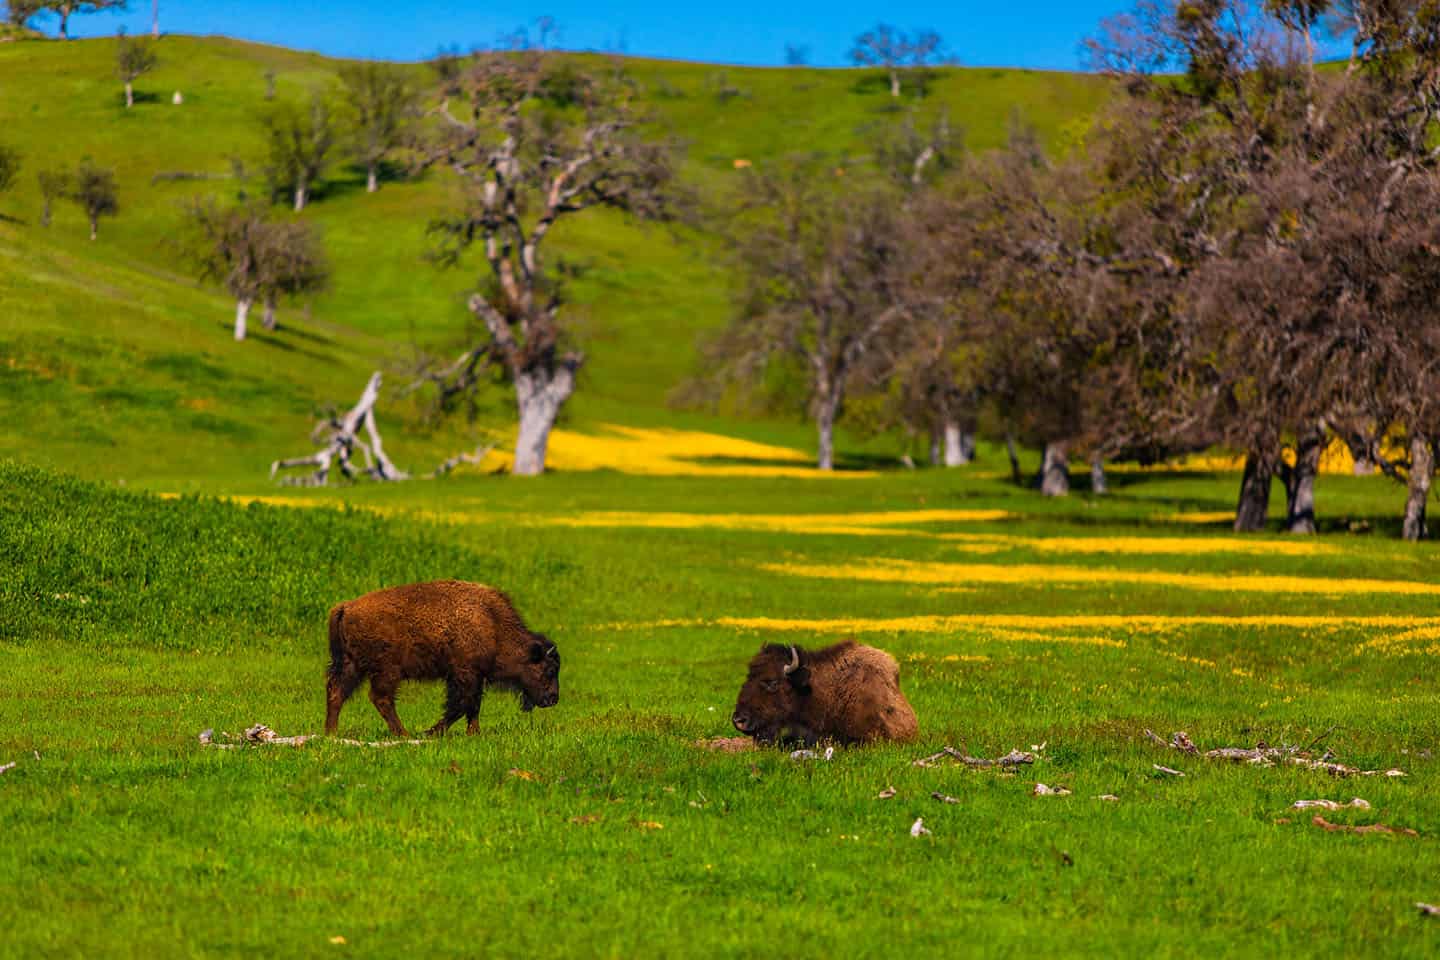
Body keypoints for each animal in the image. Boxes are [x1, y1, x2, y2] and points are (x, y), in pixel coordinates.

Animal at [324, 581, 558, 742]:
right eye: (549, 670)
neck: (493, 625)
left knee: (337, 692)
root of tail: (346, 607)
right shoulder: (465, 675)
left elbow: (473, 706)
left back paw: (331, 733)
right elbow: (460, 705)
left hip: (352, 665)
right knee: (380, 698)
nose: (553, 699)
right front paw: (431, 732)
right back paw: (404, 734)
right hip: (386, 670)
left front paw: (474, 733)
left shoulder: (474, 677)